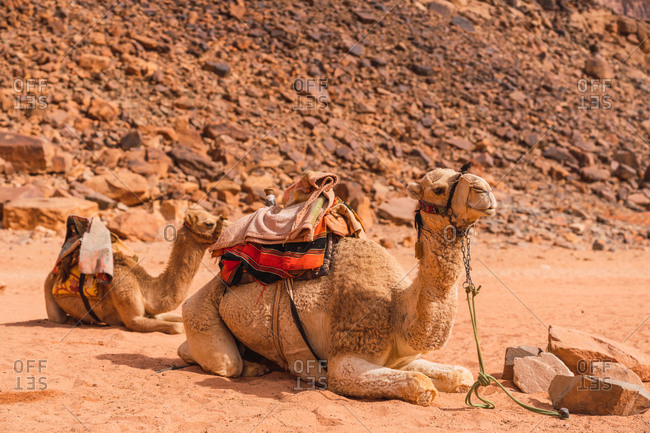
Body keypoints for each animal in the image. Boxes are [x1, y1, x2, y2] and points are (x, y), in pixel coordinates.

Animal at [44, 209, 228, 334]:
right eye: (209, 223)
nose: (230, 225)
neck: (146, 288)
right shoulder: (133, 319)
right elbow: (177, 327)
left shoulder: (153, 313)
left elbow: (176, 318)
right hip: (48, 292)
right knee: (57, 318)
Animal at [178, 168, 497, 404]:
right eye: (439, 189)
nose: (484, 190)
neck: (396, 310)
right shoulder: (346, 357)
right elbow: (422, 385)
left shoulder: (399, 358)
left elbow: (462, 375)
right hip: (200, 308)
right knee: (220, 361)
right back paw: (253, 367)